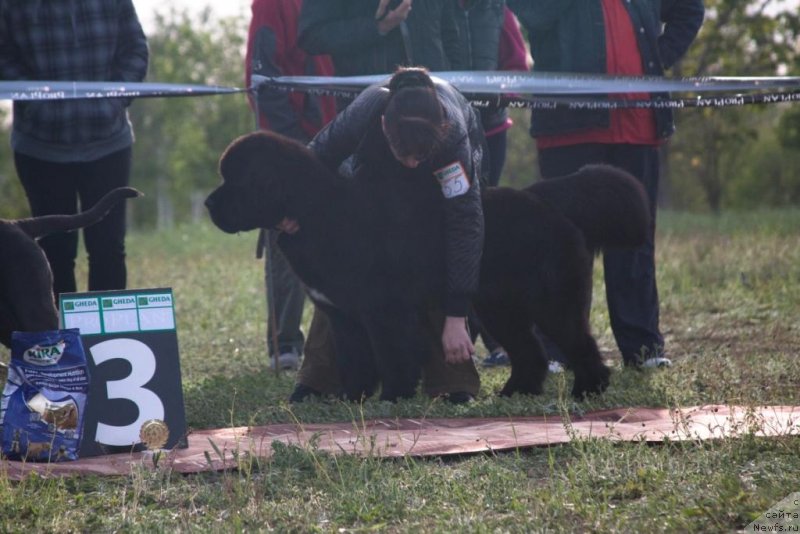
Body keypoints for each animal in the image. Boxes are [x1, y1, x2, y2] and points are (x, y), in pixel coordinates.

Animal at [206, 132, 648, 402]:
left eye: (236, 180)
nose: (210, 204)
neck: (315, 210)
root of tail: (546, 197)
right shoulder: (345, 316)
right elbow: (356, 361)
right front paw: (353, 399)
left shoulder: (386, 312)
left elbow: (393, 357)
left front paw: (393, 398)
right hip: (499, 308)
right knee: (531, 352)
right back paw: (515, 392)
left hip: (550, 303)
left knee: (580, 344)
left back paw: (587, 390)